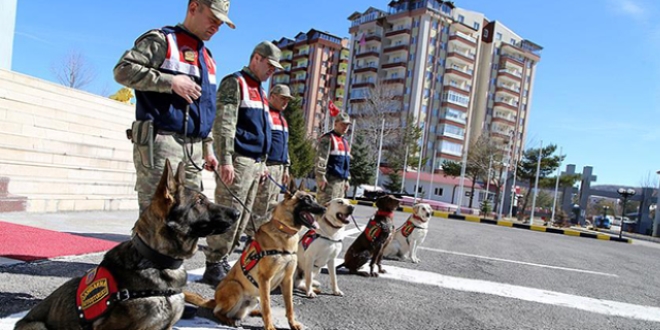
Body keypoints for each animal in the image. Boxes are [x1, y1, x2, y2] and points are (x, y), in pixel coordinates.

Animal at [184, 189, 326, 328]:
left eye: (314, 198)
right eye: (306, 199)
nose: (324, 209)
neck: (283, 231)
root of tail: (214, 300)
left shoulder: (288, 279)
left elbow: (289, 305)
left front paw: (292, 324)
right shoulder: (265, 279)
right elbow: (267, 305)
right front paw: (269, 327)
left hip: (255, 298)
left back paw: (256, 313)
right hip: (235, 286)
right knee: (217, 311)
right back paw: (229, 320)